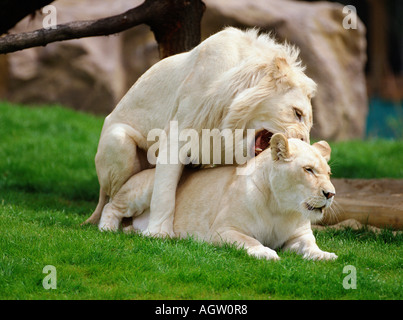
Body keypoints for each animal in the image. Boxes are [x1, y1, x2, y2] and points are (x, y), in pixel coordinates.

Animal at [83, 27, 318, 238]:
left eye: (309, 125)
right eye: (297, 113)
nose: (303, 142)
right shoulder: (178, 133)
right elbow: (164, 191)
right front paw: (159, 233)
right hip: (119, 140)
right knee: (112, 197)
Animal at [98, 134, 338, 262]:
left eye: (328, 173)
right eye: (308, 170)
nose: (331, 194)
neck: (281, 208)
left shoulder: (299, 236)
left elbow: (310, 245)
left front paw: (325, 255)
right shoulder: (223, 230)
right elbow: (249, 240)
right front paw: (266, 252)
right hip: (147, 188)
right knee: (111, 207)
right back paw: (107, 229)